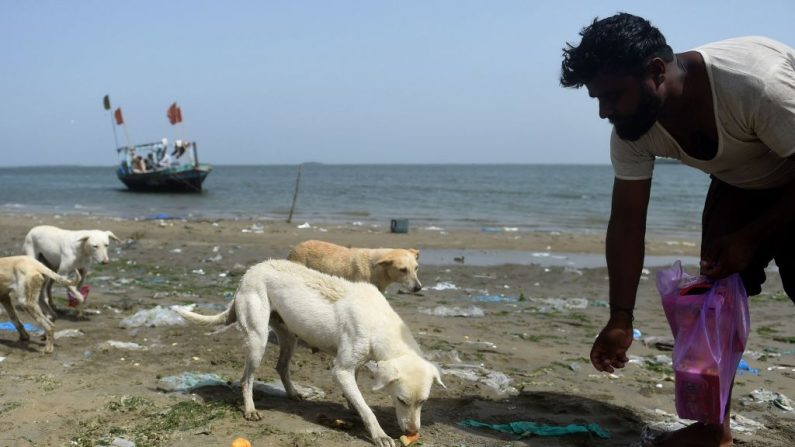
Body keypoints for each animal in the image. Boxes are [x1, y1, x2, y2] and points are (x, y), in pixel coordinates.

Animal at [175, 260, 444, 446]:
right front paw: (379, 434)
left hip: (289, 337)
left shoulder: (354, 365)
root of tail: (248, 273)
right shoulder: (341, 370)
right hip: (257, 340)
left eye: (423, 402)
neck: (379, 323)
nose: (412, 432)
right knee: (246, 379)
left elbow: (356, 397)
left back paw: (294, 393)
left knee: (281, 367)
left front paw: (352, 406)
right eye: (402, 401)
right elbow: (367, 409)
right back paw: (250, 409)